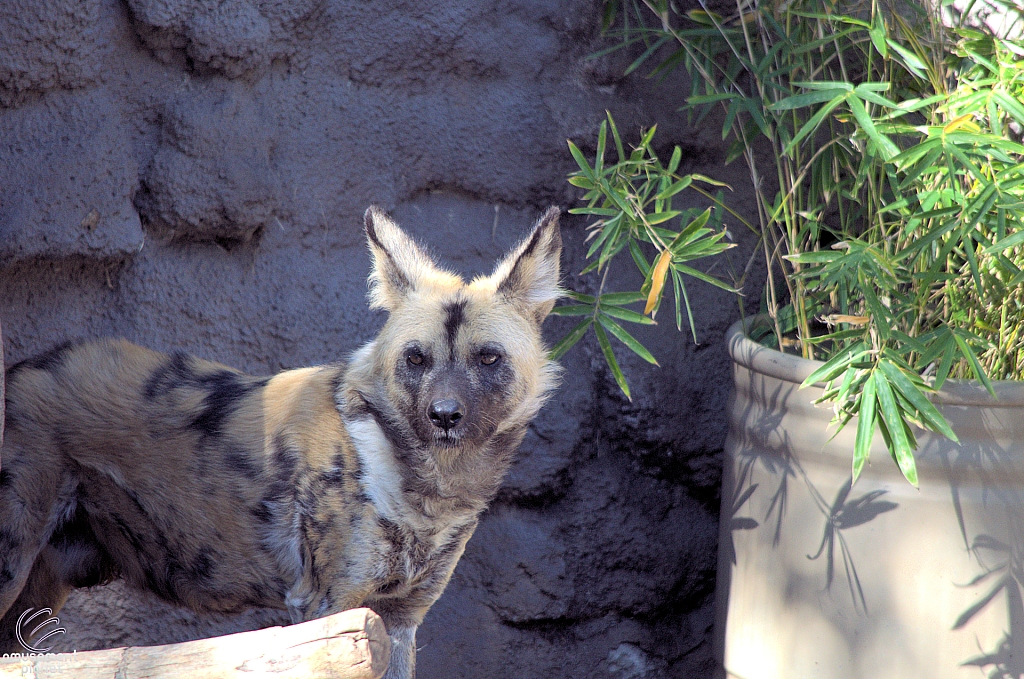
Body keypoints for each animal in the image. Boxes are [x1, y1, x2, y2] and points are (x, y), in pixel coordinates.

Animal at [0, 205, 561, 679]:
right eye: (416, 359)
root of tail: (16, 373)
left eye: (488, 358)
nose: (443, 416)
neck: (423, 488)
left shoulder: (399, 620)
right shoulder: (329, 610)